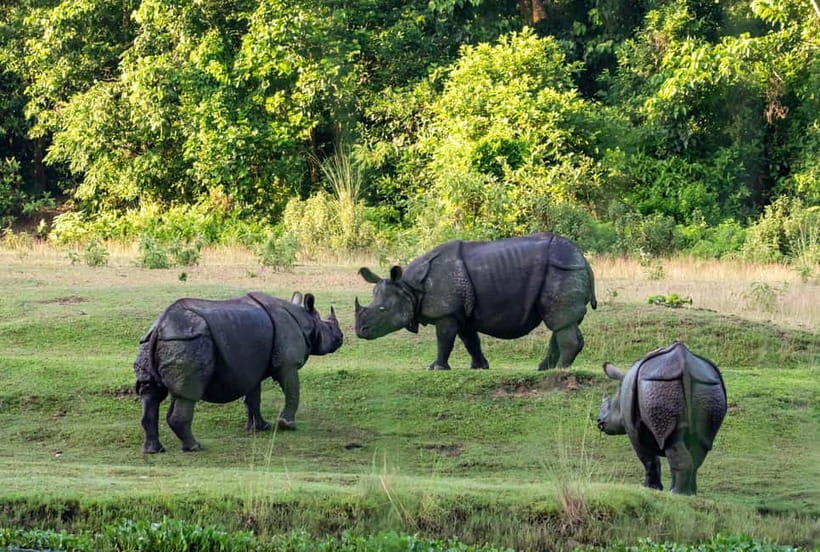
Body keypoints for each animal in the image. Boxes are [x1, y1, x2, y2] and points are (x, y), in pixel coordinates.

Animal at [133, 291, 343, 452]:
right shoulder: (288, 364)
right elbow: (292, 391)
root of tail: (161, 326)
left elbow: (253, 398)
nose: (341, 337)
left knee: (151, 394)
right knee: (188, 395)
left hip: (151, 341)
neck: (305, 320)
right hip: (188, 340)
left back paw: (154, 450)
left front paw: (260, 428)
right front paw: (286, 425)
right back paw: (194, 447)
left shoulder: (250, 369)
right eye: (329, 326)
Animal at [355, 233, 596, 371]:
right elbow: (470, 341)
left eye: (382, 310)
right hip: (566, 269)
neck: (409, 289)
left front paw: (435, 368)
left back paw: (560, 371)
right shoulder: (461, 314)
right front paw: (480, 367)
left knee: (559, 321)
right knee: (561, 321)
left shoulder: (446, 313)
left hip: (563, 269)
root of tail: (583, 259)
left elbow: (444, 340)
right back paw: (544, 369)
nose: (360, 331)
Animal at [597, 342, 727, 495]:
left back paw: (676, 493)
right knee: (699, 444)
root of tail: (685, 364)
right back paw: (689, 493)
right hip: (708, 389)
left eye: (609, 406)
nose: (599, 421)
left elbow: (647, 457)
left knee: (672, 440)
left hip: (659, 386)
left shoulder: (632, 428)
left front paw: (648, 487)